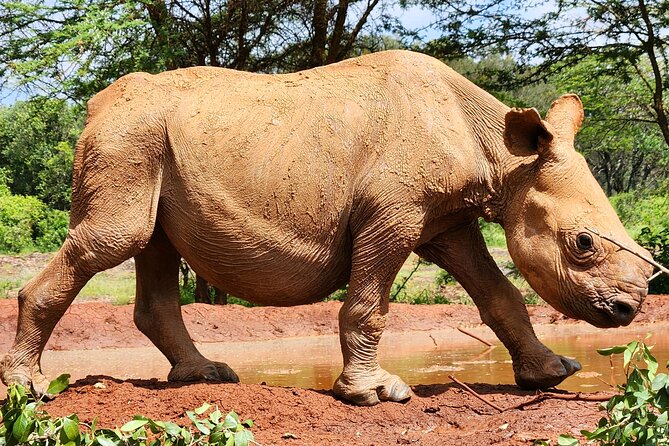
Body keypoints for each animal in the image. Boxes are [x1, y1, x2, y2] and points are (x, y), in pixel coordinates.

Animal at [1, 50, 654, 406]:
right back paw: (30, 389)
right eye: (583, 244)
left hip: (148, 137)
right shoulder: (394, 214)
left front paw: (552, 373)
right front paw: (376, 393)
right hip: (129, 136)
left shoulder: (448, 222)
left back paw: (206, 376)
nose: (629, 310)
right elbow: (369, 305)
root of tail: (95, 104)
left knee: (152, 246)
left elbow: (499, 295)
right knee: (118, 237)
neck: (501, 154)